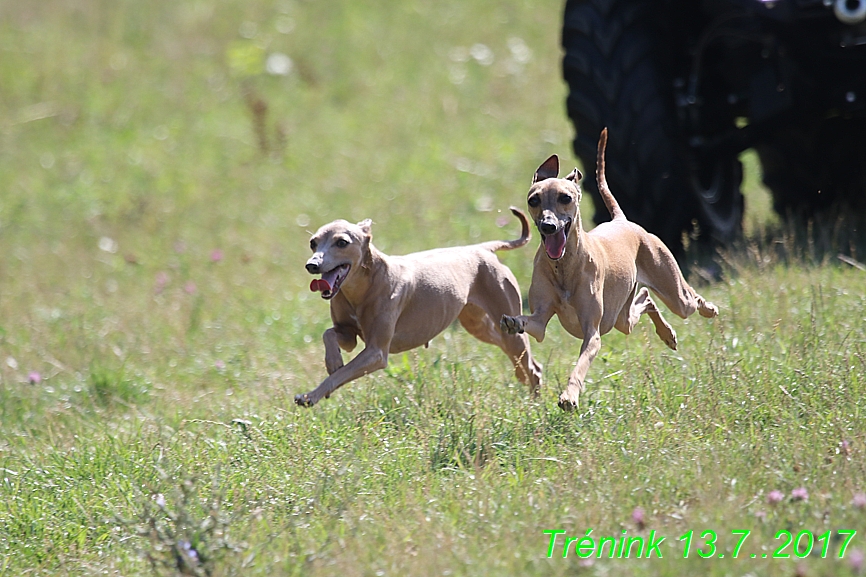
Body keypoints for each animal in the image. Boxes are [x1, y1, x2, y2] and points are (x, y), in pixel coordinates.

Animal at [296, 207, 540, 404]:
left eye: (342, 242)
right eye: (312, 243)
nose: (311, 265)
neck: (363, 287)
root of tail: (481, 248)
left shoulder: (376, 352)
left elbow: (341, 374)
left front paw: (311, 396)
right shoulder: (348, 335)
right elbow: (329, 335)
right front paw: (333, 361)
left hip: (507, 323)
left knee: (533, 368)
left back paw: (534, 403)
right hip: (480, 325)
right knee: (519, 357)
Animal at [500, 129, 716, 410]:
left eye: (565, 198)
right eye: (533, 200)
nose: (548, 225)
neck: (564, 266)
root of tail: (622, 220)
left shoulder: (593, 334)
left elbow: (579, 366)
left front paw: (569, 396)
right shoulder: (540, 322)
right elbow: (530, 324)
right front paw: (513, 322)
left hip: (674, 294)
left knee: (689, 298)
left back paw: (708, 309)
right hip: (621, 318)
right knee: (645, 300)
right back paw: (667, 334)